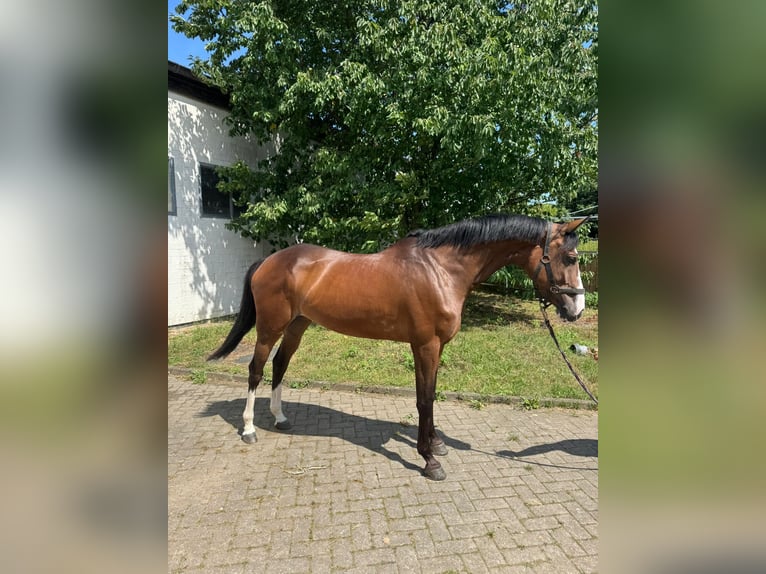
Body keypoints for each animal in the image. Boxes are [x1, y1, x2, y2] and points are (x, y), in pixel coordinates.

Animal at [208, 214, 588, 480]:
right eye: (570, 258)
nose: (577, 309)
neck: (441, 269)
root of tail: (269, 261)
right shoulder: (425, 345)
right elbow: (423, 400)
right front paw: (429, 460)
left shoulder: (435, 347)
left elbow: (430, 395)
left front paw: (436, 445)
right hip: (269, 327)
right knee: (255, 369)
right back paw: (249, 429)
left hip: (298, 325)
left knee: (280, 365)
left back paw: (281, 418)